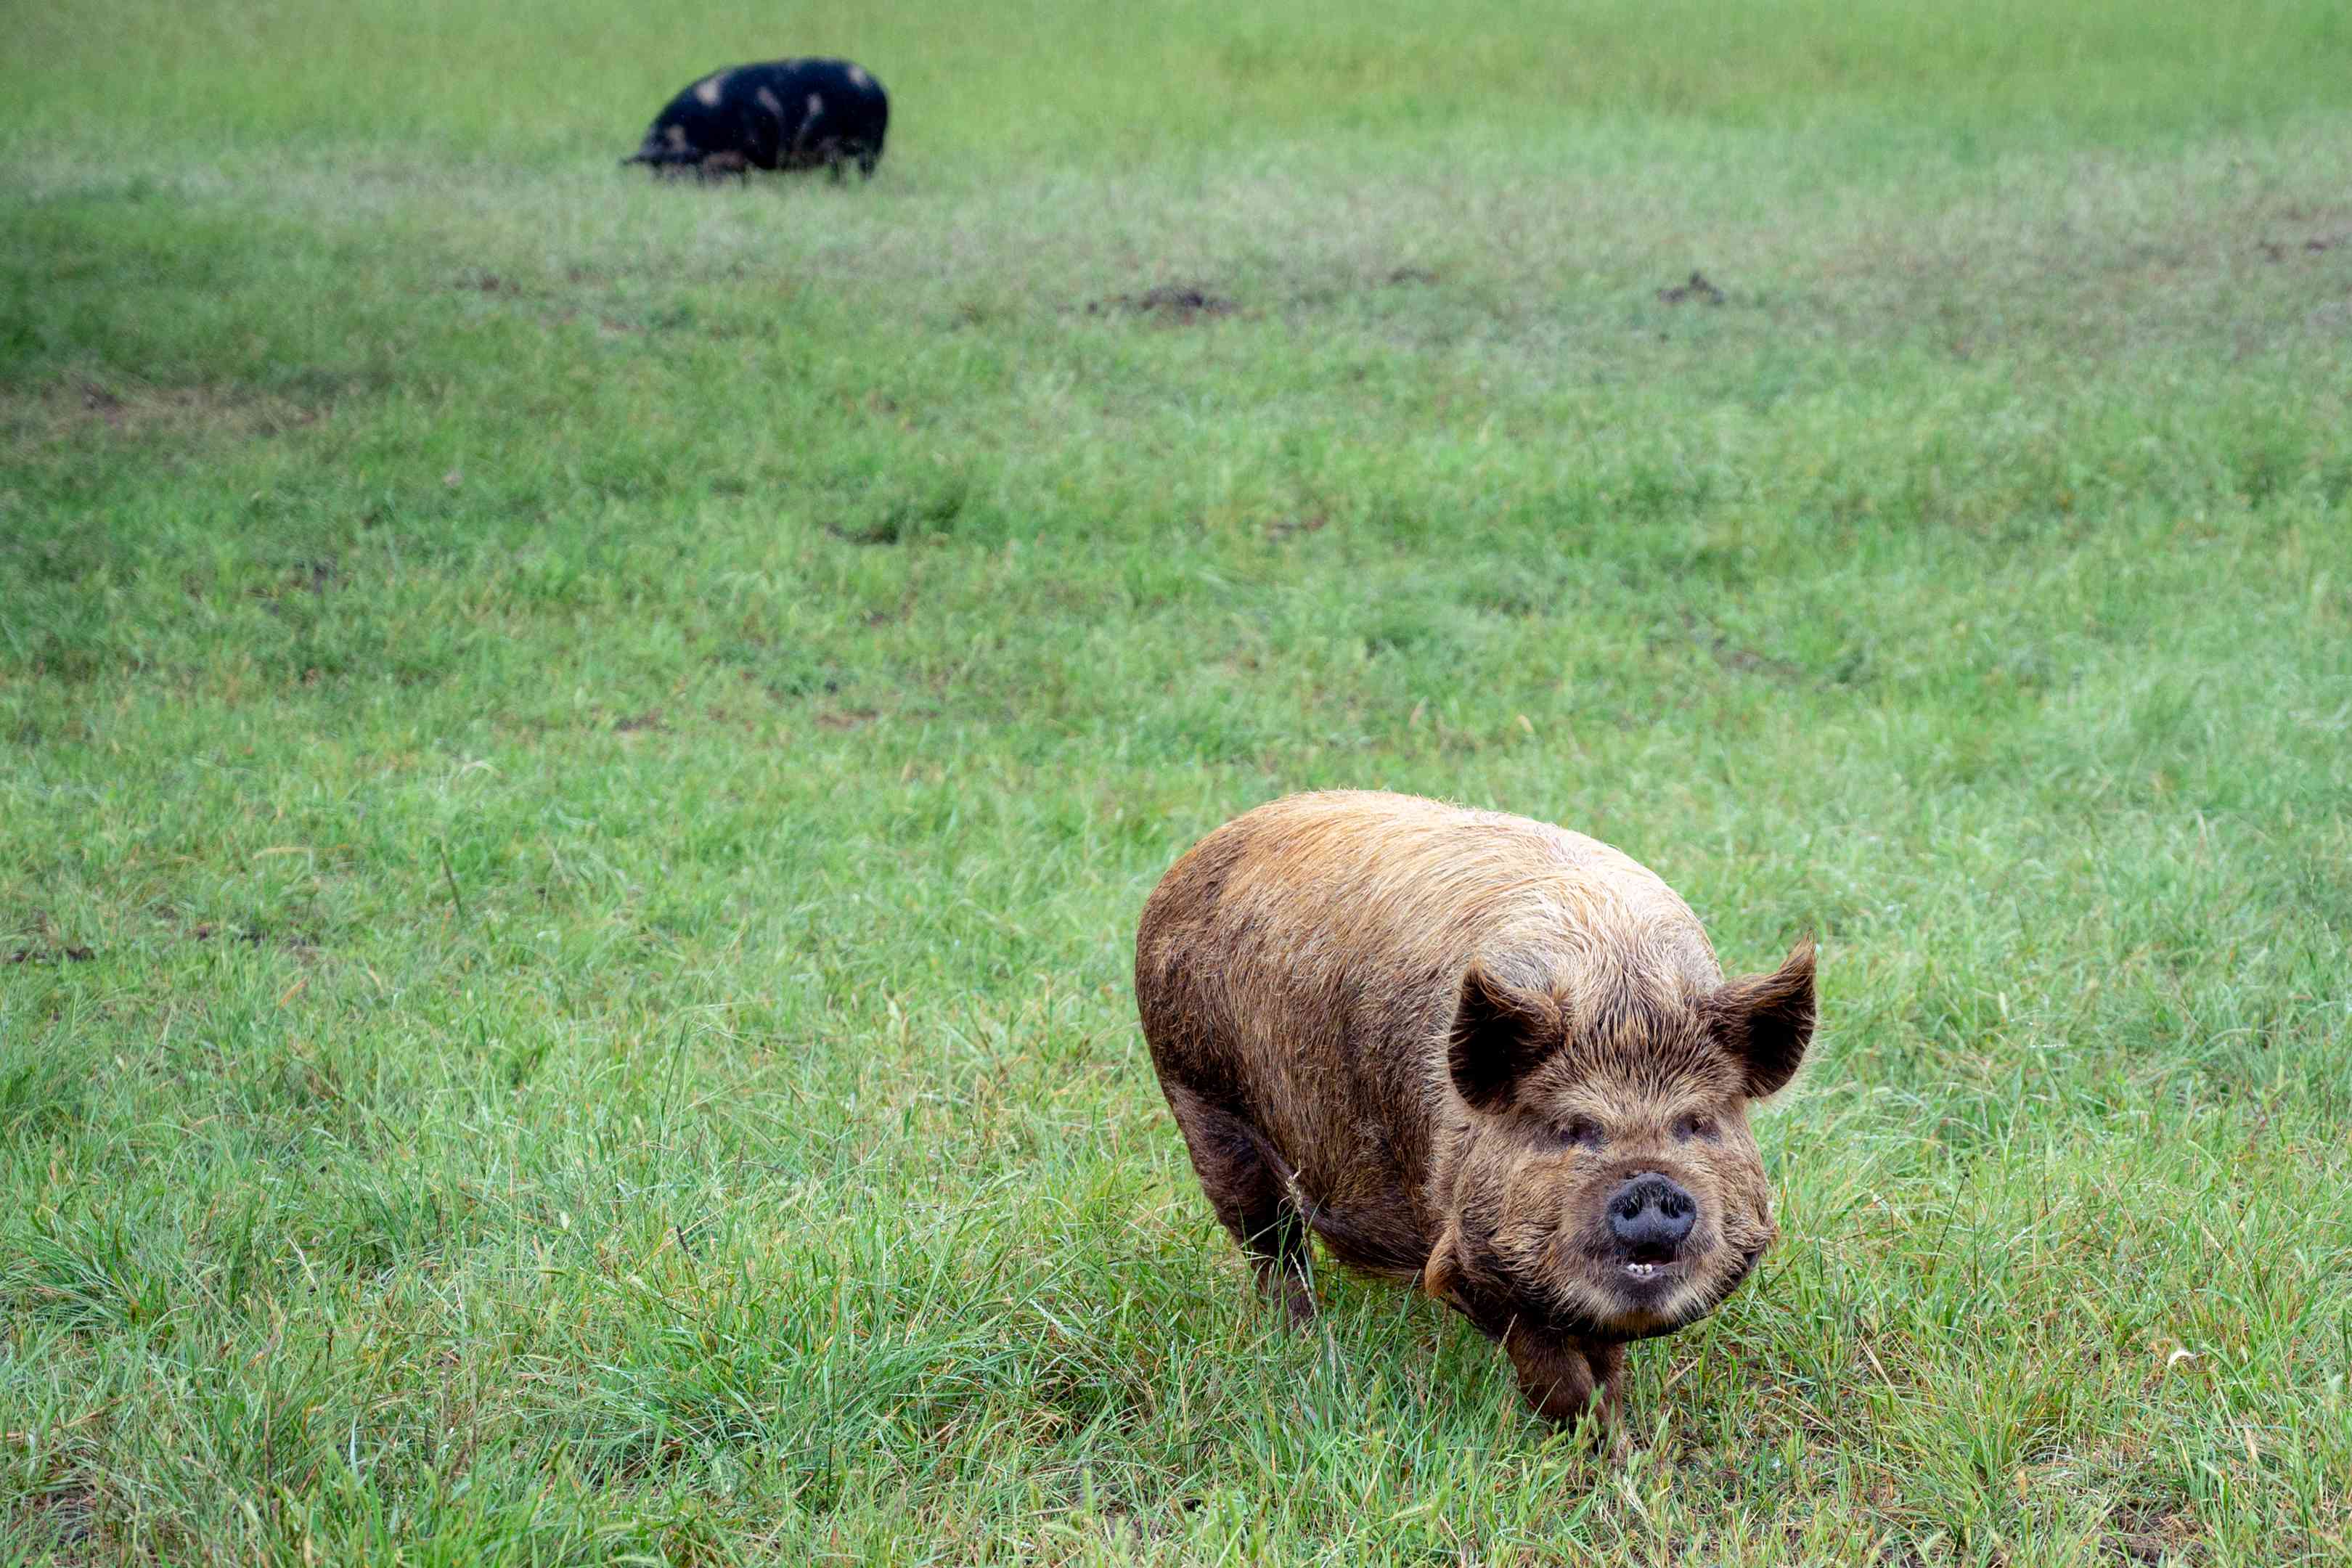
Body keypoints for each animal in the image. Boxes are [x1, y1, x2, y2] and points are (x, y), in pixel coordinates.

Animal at [1138, 790, 1816, 1429]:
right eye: (1571, 1128)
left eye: (1695, 1123)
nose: (1649, 1184)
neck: (1621, 998)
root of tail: (1187, 862)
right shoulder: (1460, 1246)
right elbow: (1549, 1366)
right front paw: (1593, 1443)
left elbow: (1604, 1361)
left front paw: (1623, 1444)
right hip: (1197, 1093)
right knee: (1269, 1241)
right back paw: (1305, 1345)